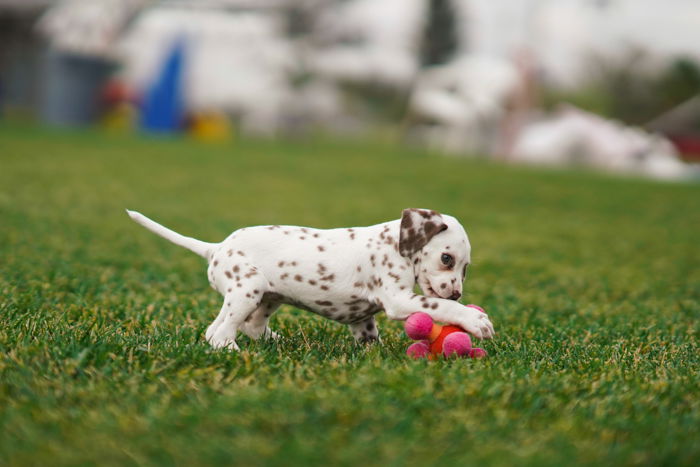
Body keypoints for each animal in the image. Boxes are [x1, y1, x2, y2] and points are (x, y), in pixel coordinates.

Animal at [127, 208, 498, 352]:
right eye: (447, 259)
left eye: (466, 268)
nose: (457, 293)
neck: (394, 244)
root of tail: (215, 248)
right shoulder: (399, 299)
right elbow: (434, 305)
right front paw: (476, 320)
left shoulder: (363, 318)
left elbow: (369, 337)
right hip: (248, 290)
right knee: (219, 334)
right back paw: (234, 350)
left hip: (266, 298)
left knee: (240, 327)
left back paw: (275, 341)